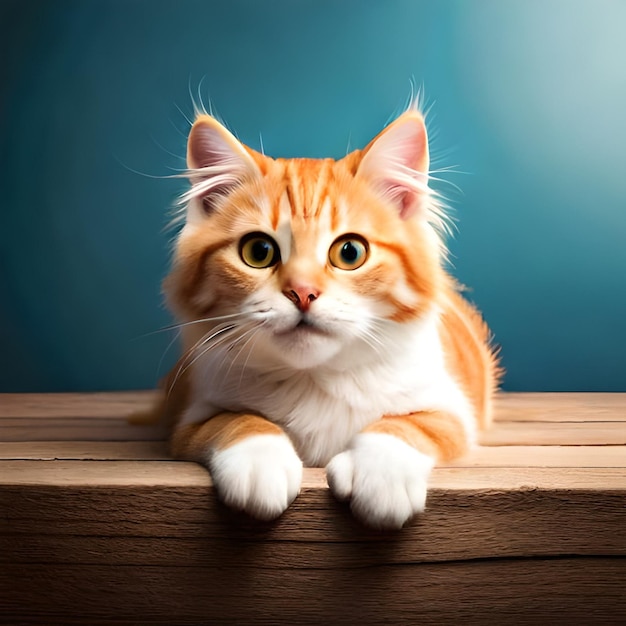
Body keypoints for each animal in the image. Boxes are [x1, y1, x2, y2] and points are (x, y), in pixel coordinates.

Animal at [144, 102, 500, 528]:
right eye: (258, 251)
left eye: (350, 252)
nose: (303, 292)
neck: (313, 379)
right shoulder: (191, 414)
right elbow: (234, 420)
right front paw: (259, 462)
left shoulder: (453, 409)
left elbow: (409, 423)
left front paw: (382, 477)